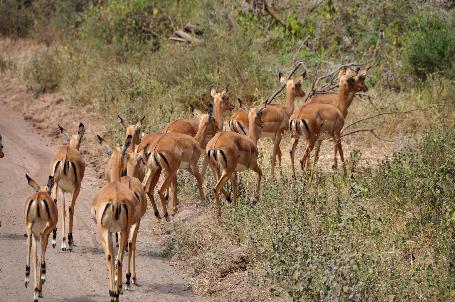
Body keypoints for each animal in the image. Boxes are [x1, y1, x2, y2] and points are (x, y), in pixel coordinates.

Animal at [50, 121, 85, 251]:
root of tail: (65, 158)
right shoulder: (76, 189)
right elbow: (71, 209)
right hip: (73, 189)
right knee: (70, 208)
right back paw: (68, 242)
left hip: (58, 188)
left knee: (59, 206)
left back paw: (58, 241)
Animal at [92, 135, 141, 302]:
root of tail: (116, 200)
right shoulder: (118, 231)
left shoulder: (108, 232)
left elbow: (110, 258)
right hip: (124, 230)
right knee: (119, 259)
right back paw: (118, 290)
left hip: (104, 232)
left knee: (110, 258)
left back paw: (113, 293)